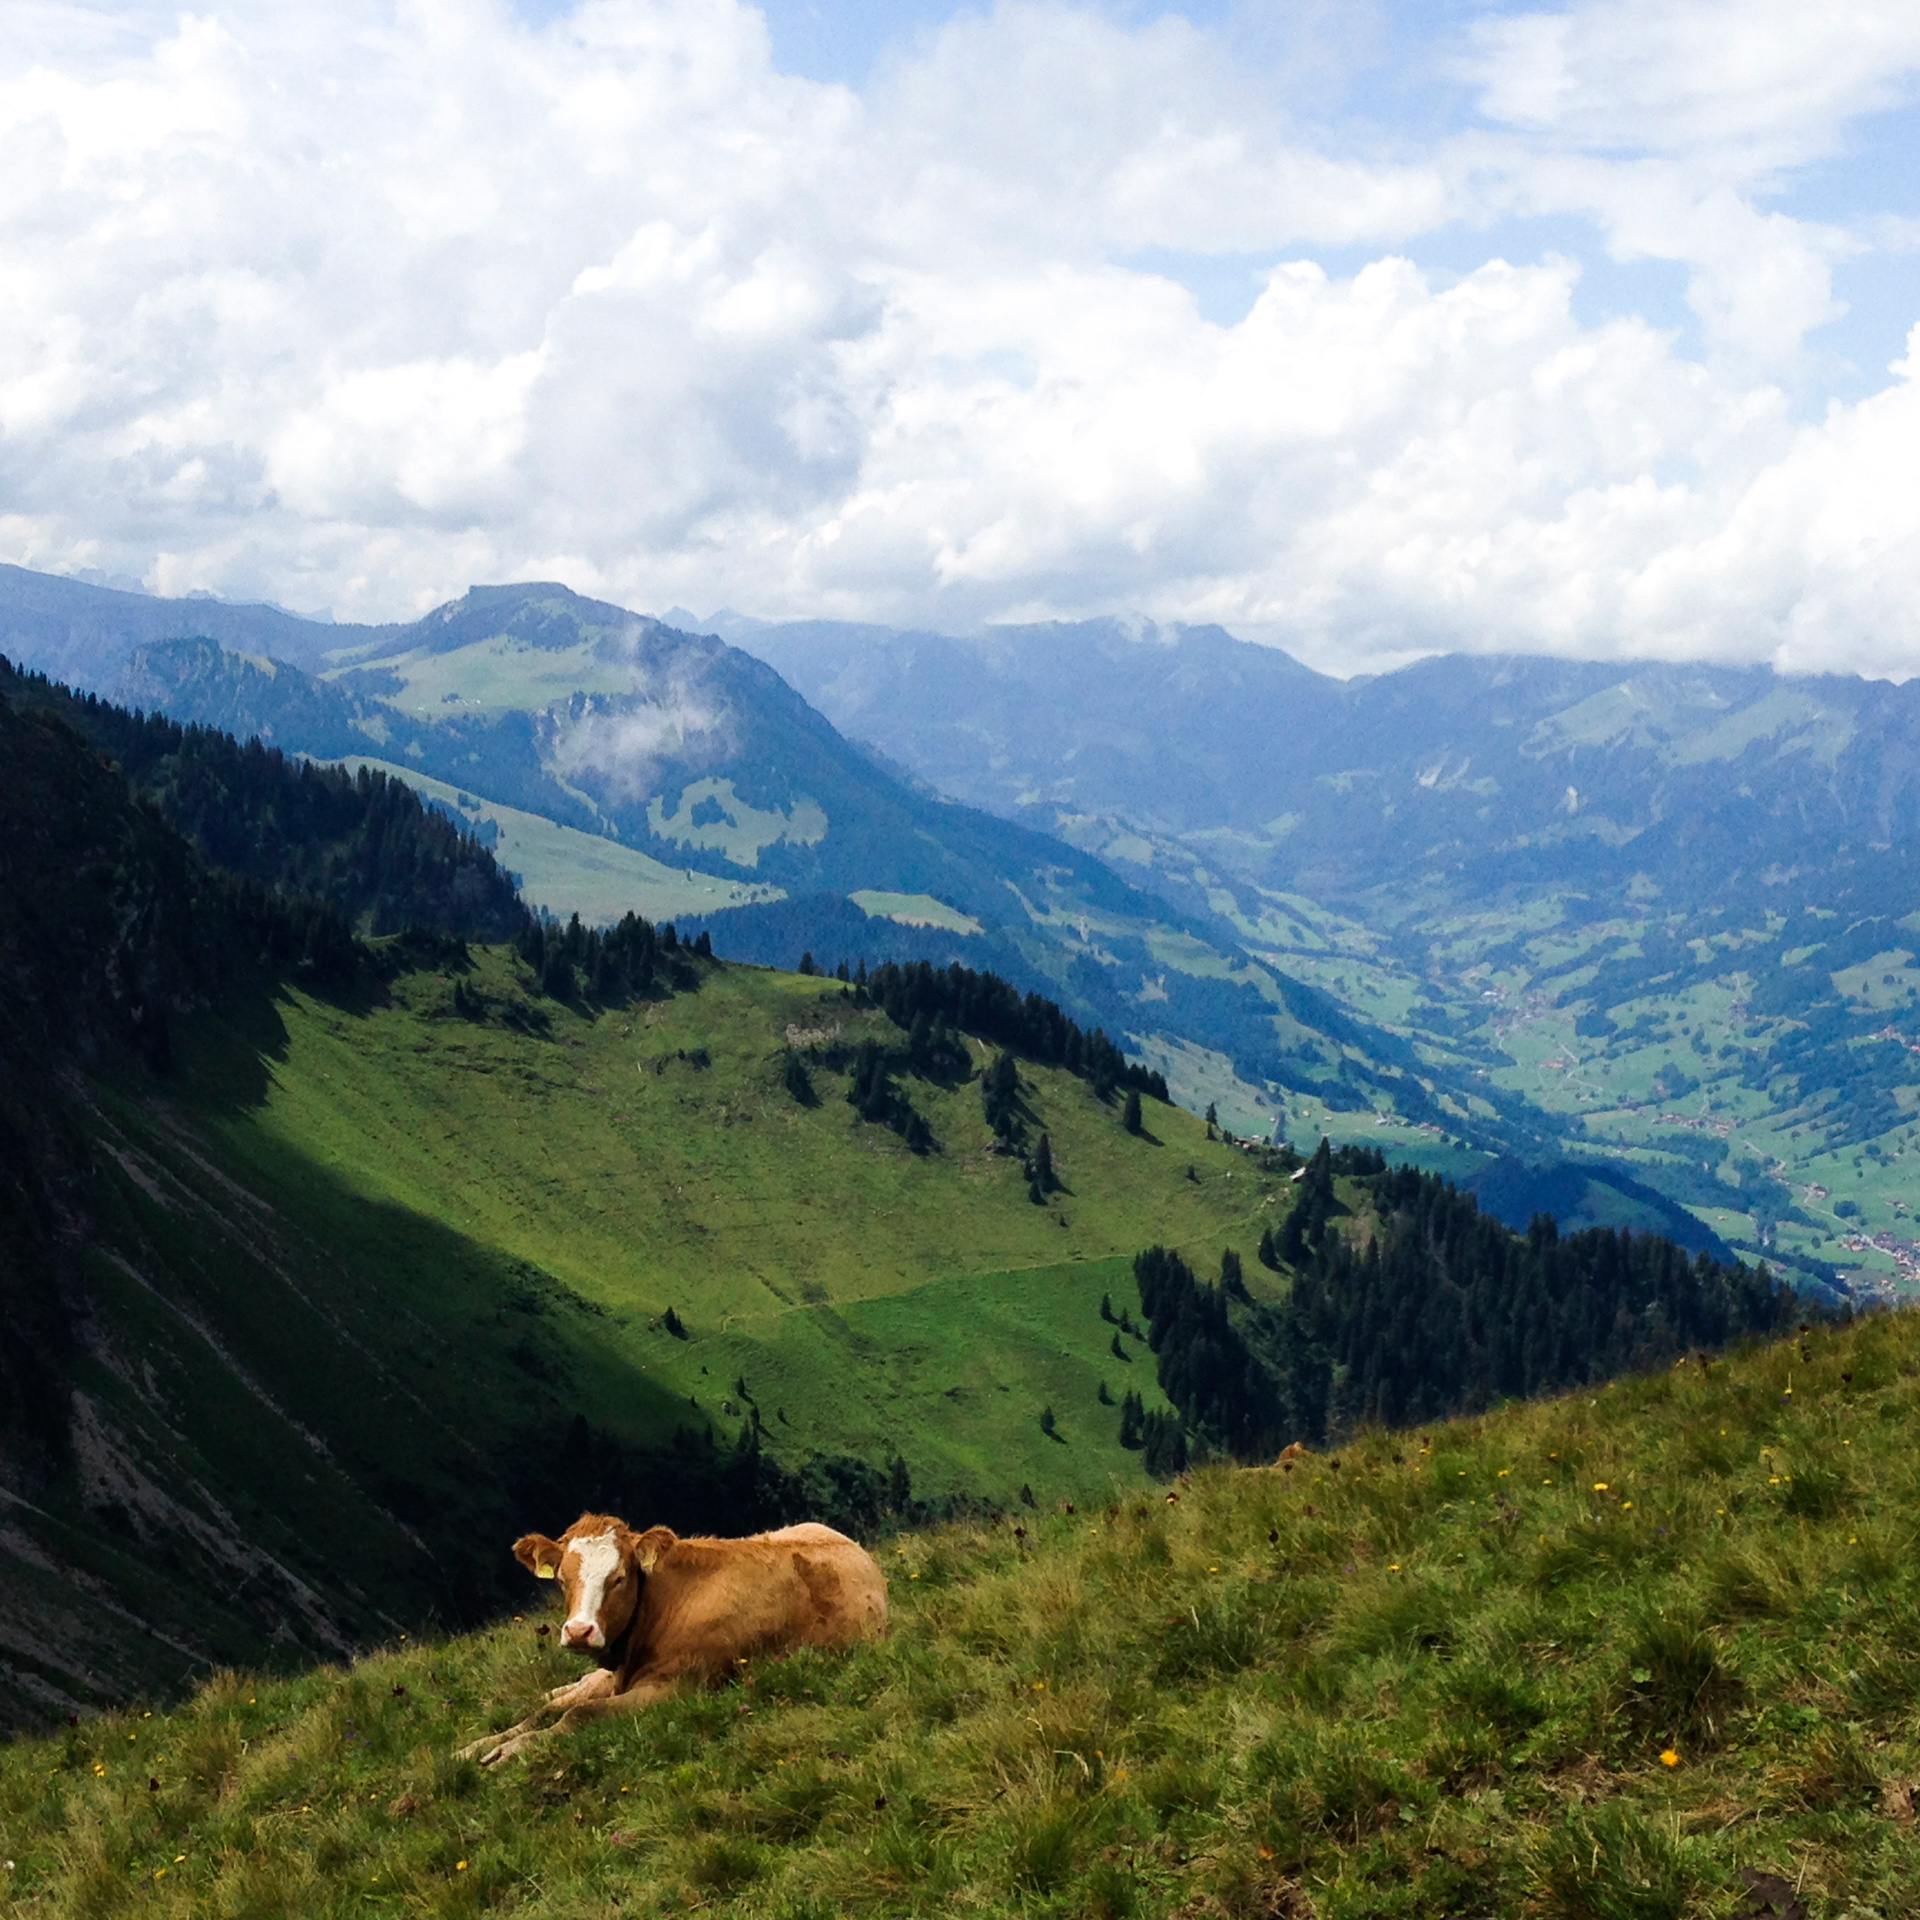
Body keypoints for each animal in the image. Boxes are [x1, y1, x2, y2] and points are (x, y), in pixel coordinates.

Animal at [458, 1513, 888, 1765]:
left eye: (619, 1578)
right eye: (562, 1578)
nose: (579, 1631)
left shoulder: (676, 1688)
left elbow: (579, 1714)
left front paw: (511, 1751)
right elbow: (544, 1712)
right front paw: (473, 1746)